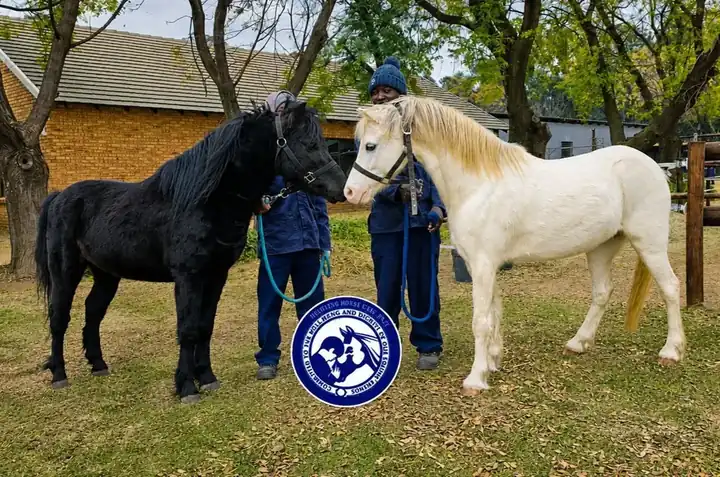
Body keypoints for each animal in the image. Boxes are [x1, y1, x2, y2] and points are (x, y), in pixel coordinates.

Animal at [34, 99, 347, 404]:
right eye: (309, 144)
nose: (341, 190)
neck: (204, 200)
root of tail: (59, 197)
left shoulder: (216, 275)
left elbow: (205, 326)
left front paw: (206, 378)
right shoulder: (189, 276)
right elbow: (188, 328)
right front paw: (186, 387)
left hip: (106, 274)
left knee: (93, 311)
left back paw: (98, 365)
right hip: (65, 272)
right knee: (59, 317)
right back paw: (59, 374)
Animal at [343, 95, 685, 396]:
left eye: (371, 145)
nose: (349, 193)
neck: (479, 185)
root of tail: (655, 168)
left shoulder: (483, 265)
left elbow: (480, 321)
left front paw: (475, 380)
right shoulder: (483, 265)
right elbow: (494, 312)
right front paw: (492, 361)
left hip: (650, 244)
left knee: (670, 287)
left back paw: (671, 351)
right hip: (601, 247)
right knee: (602, 293)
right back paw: (578, 343)